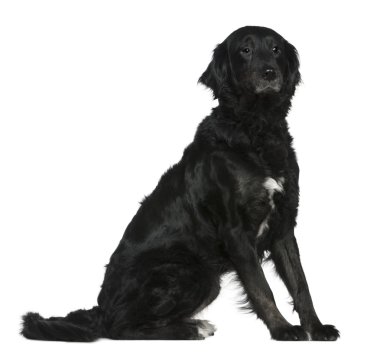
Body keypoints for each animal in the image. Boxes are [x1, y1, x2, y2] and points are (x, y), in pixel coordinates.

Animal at [20, 26, 340, 342]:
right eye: (245, 50)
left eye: (276, 49)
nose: (270, 72)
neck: (256, 129)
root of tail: (102, 309)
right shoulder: (236, 232)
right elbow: (262, 288)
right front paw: (282, 329)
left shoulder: (284, 224)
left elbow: (301, 284)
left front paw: (316, 328)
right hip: (192, 271)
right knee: (121, 328)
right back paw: (191, 328)